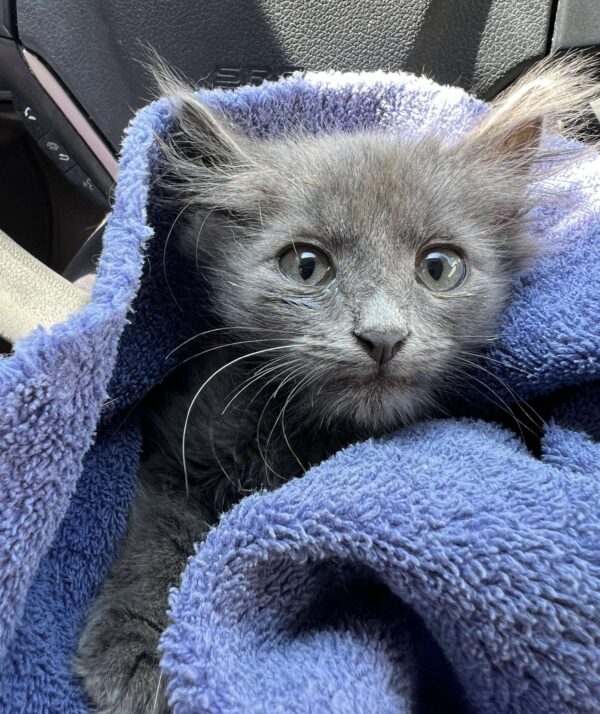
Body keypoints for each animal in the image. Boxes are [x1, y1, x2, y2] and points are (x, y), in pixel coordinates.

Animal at [76, 58, 600, 708]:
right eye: (305, 265)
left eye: (439, 267)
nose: (382, 335)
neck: (309, 436)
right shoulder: (178, 447)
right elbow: (155, 537)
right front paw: (136, 649)